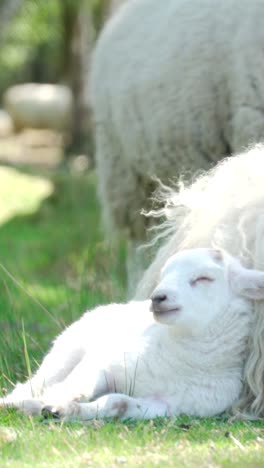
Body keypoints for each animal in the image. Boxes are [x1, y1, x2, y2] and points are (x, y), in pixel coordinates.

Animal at [2, 247, 264, 422]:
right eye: (163, 275)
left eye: (204, 278)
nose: (157, 297)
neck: (181, 359)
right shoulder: (106, 361)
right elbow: (79, 383)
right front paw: (57, 403)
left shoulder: (168, 405)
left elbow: (116, 402)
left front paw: (68, 410)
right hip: (66, 351)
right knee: (35, 383)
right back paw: (14, 403)